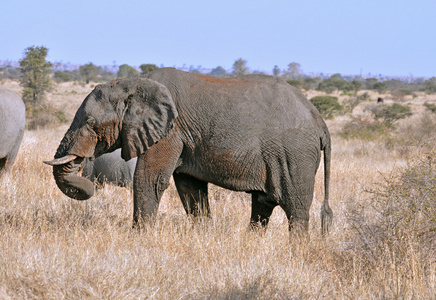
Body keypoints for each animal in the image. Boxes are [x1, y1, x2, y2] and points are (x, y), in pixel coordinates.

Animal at [44, 67, 332, 234]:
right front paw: (202, 236)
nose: (88, 183)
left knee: (295, 209)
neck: (134, 84)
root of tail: (320, 121)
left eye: (90, 123)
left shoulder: (170, 131)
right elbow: (190, 187)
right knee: (262, 205)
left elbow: (150, 179)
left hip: (295, 155)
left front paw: (138, 239)